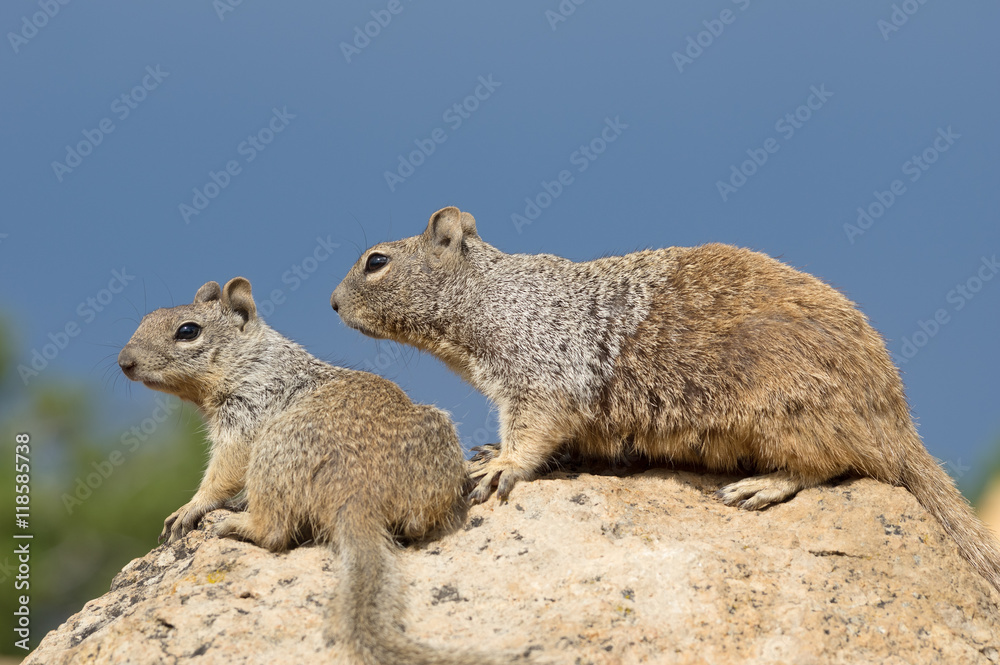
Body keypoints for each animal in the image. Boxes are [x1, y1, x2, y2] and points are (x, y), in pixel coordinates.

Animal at [119, 277, 513, 665]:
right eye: (146, 319)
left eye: (188, 331)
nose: (124, 361)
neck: (253, 360)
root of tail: (358, 496)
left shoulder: (246, 416)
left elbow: (224, 471)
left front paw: (190, 508)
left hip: (272, 448)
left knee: (275, 532)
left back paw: (236, 524)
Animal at [331, 205, 1000, 595]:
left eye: (376, 261)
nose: (331, 304)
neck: (492, 296)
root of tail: (896, 413)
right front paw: (491, 448)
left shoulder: (537, 369)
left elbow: (536, 427)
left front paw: (500, 465)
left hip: (784, 408)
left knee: (827, 463)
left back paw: (763, 485)